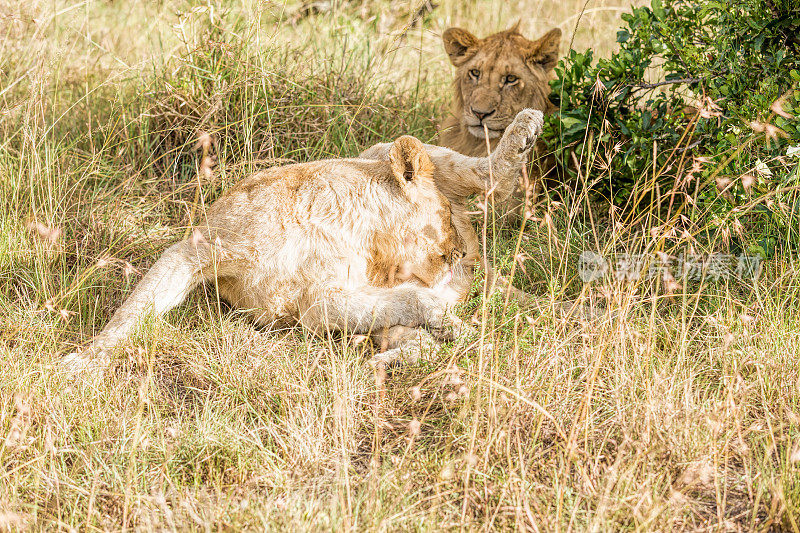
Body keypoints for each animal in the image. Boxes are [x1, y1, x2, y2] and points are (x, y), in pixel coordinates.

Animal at [65, 109, 544, 372]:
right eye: (442, 218)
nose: (458, 252)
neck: (365, 227)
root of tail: (479, 265)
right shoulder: (313, 302)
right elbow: (134, 309)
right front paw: (85, 360)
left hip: (380, 150)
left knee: (479, 174)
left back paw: (524, 130)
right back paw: (400, 353)